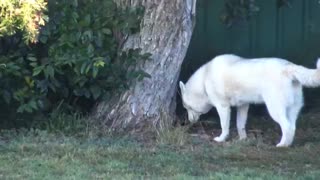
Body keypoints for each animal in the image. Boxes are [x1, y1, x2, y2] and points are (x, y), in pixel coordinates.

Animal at [180, 54, 320, 147]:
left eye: (187, 107)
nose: (189, 122)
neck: (204, 79)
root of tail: (288, 67)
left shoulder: (223, 107)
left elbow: (224, 126)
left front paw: (221, 139)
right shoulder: (243, 106)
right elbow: (240, 124)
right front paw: (242, 139)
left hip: (275, 110)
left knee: (287, 127)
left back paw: (282, 145)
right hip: (292, 110)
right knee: (293, 126)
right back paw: (289, 143)